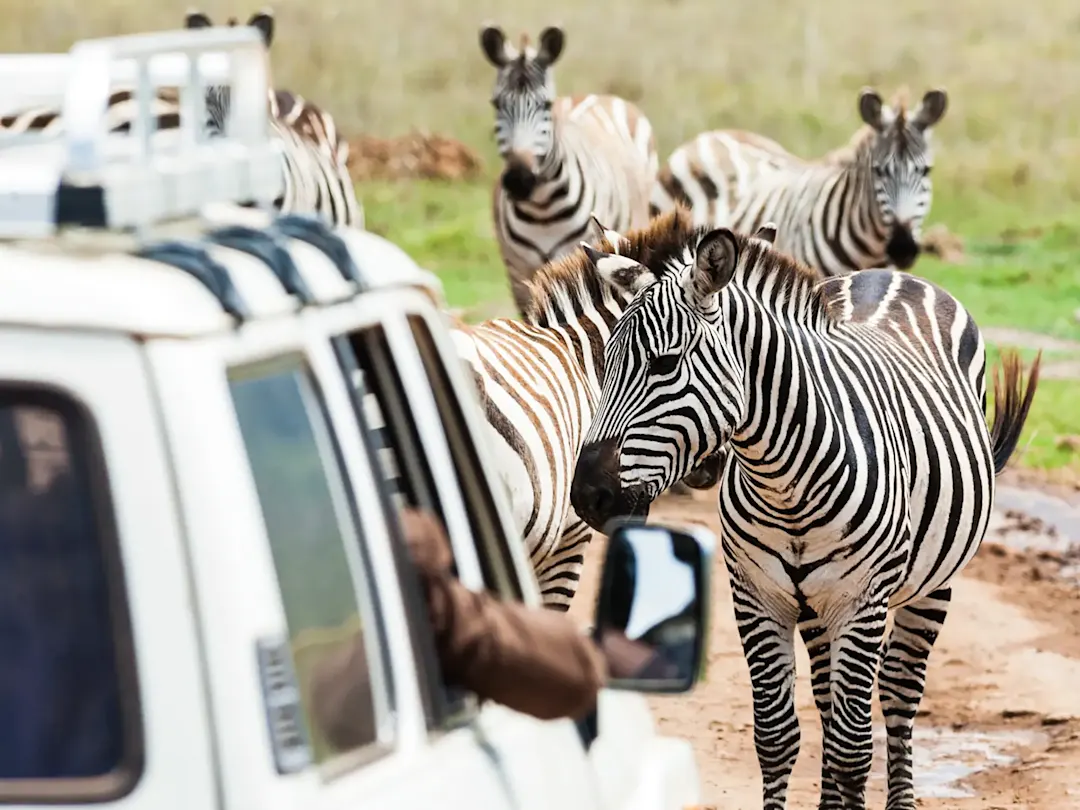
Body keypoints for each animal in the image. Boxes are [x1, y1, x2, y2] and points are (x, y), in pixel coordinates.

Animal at [481, 23, 656, 315]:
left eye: (546, 105)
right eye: (497, 104)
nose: (519, 179)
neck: (541, 210)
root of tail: (592, 95)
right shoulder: (518, 273)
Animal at [570, 212, 1041, 807]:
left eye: (664, 364)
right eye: (603, 364)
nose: (588, 495)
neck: (785, 484)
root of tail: (889, 273)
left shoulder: (861, 601)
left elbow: (852, 747)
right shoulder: (757, 596)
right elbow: (776, 736)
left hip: (932, 582)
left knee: (898, 691)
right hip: (814, 605)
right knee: (826, 695)